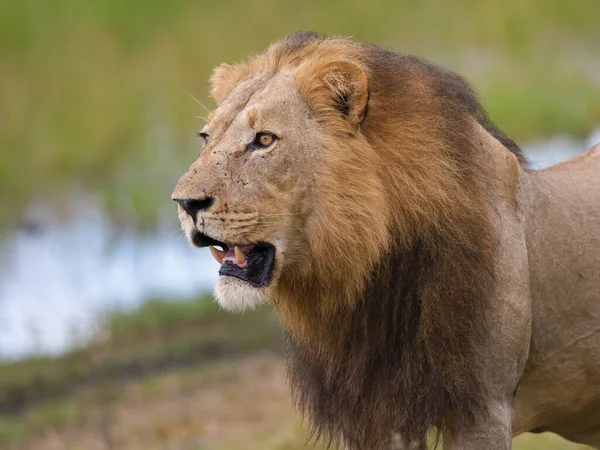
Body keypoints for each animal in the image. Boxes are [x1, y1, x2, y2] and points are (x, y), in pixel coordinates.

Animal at [172, 33, 600, 448]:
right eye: (206, 137)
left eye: (263, 139)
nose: (185, 202)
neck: (369, 274)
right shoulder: (370, 414)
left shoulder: (483, 409)